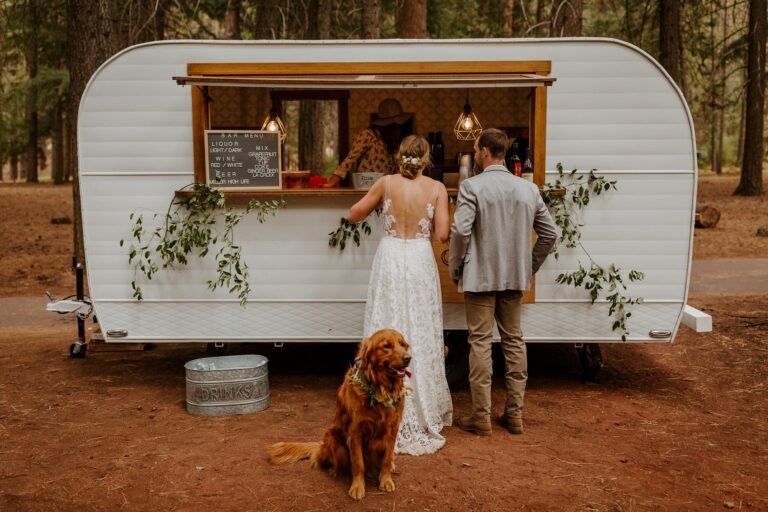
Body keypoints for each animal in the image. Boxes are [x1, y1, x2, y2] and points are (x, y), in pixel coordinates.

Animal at [270, 328, 414, 500]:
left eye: (403, 345)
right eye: (387, 346)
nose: (408, 358)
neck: (379, 389)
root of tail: (322, 445)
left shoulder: (392, 429)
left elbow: (386, 458)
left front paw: (385, 480)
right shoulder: (356, 432)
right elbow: (358, 463)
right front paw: (357, 487)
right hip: (333, 438)